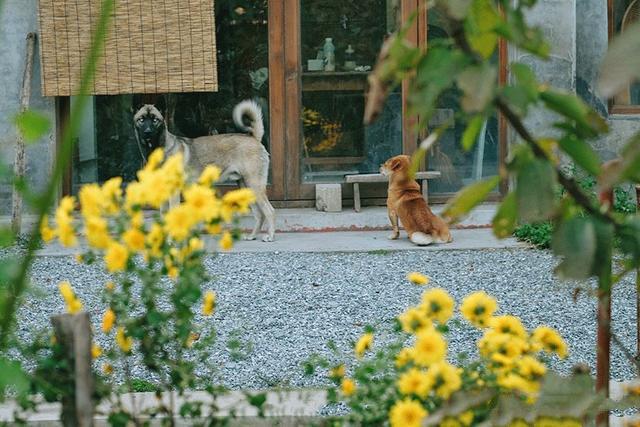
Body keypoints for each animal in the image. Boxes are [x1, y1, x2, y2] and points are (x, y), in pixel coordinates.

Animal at [132, 99, 276, 241]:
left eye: (155, 119)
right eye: (141, 119)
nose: (148, 132)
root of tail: (254, 138)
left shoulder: (174, 193)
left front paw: (172, 240)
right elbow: (164, 216)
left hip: (254, 185)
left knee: (269, 211)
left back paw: (270, 236)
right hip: (246, 187)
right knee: (259, 214)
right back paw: (252, 236)